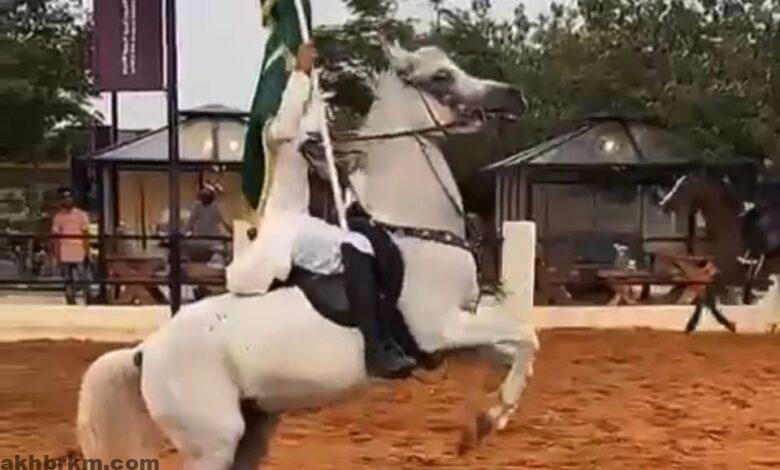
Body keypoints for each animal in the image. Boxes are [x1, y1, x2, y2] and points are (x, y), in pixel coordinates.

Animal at [77, 42, 536, 469]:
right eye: (441, 76)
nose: (513, 95)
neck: (416, 230)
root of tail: (144, 352)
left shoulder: (458, 339)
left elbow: (520, 346)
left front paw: (485, 421)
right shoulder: (441, 328)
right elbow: (527, 337)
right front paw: (488, 420)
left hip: (253, 431)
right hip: (214, 444)